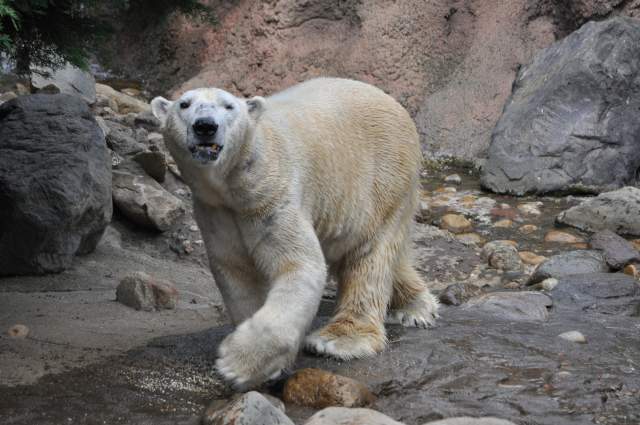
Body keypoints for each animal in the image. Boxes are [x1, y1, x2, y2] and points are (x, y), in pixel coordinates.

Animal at [152, 77, 438, 388]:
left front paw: (237, 363)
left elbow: (298, 267)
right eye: (184, 104)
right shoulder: (215, 211)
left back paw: (339, 340)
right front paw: (268, 366)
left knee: (368, 255)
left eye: (228, 106)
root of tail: (393, 103)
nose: (205, 126)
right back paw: (416, 307)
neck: (235, 184)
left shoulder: (272, 197)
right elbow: (236, 272)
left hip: (381, 179)